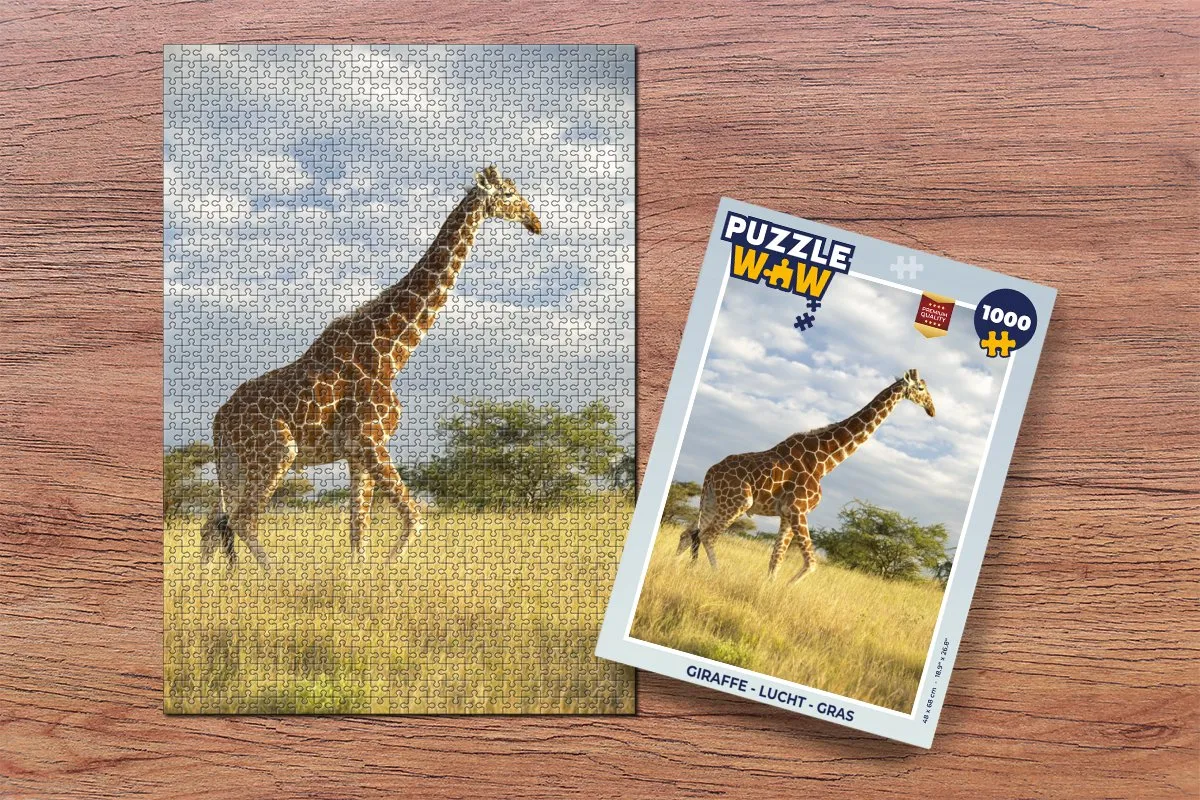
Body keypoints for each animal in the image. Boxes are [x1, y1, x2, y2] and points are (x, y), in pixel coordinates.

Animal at [200, 165, 542, 570]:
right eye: (508, 194)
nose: (535, 222)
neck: (391, 353)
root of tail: (218, 420)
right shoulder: (371, 441)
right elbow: (414, 517)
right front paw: (384, 571)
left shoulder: (357, 452)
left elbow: (358, 529)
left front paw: (359, 573)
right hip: (277, 452)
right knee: (241, 519)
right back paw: (275, 575)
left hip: (235, 463)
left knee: (214, 521)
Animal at [677, 369, 936, 584]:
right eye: (921, 388)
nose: (932, 410)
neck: (825, 462)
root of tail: (710, 472)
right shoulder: (798, 510)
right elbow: (811, 563)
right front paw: (783, 590)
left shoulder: (787, 514)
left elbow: (776, 559)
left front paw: (767, 590)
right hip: (740, 500)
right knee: (708, 535)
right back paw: (715, 574)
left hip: (712, 501)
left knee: (689, 532)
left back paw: (679, 567)